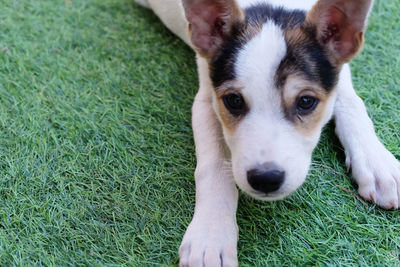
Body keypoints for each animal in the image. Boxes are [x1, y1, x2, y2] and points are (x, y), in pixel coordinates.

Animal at [135, 0, 400, 266]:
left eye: (306, 102)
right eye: (233, 101)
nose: (266, 178)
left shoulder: (338, 72)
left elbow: (351, 101)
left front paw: (377, 163)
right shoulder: (207, 99)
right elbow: (214, 165)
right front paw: (211, 236)